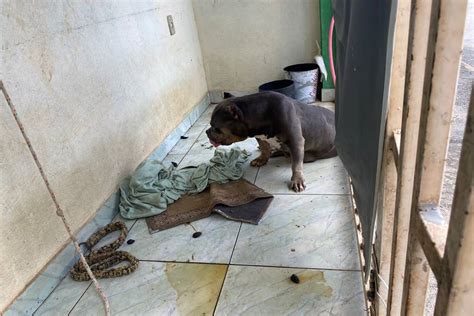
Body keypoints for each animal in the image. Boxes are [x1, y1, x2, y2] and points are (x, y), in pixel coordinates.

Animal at [206, 90, 336, 191]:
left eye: (216, 128)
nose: (207, 132)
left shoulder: (296, 141)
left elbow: (296, 164)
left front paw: (297, 180)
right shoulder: (261, 137)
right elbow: (264, 148)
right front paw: (261, 159)